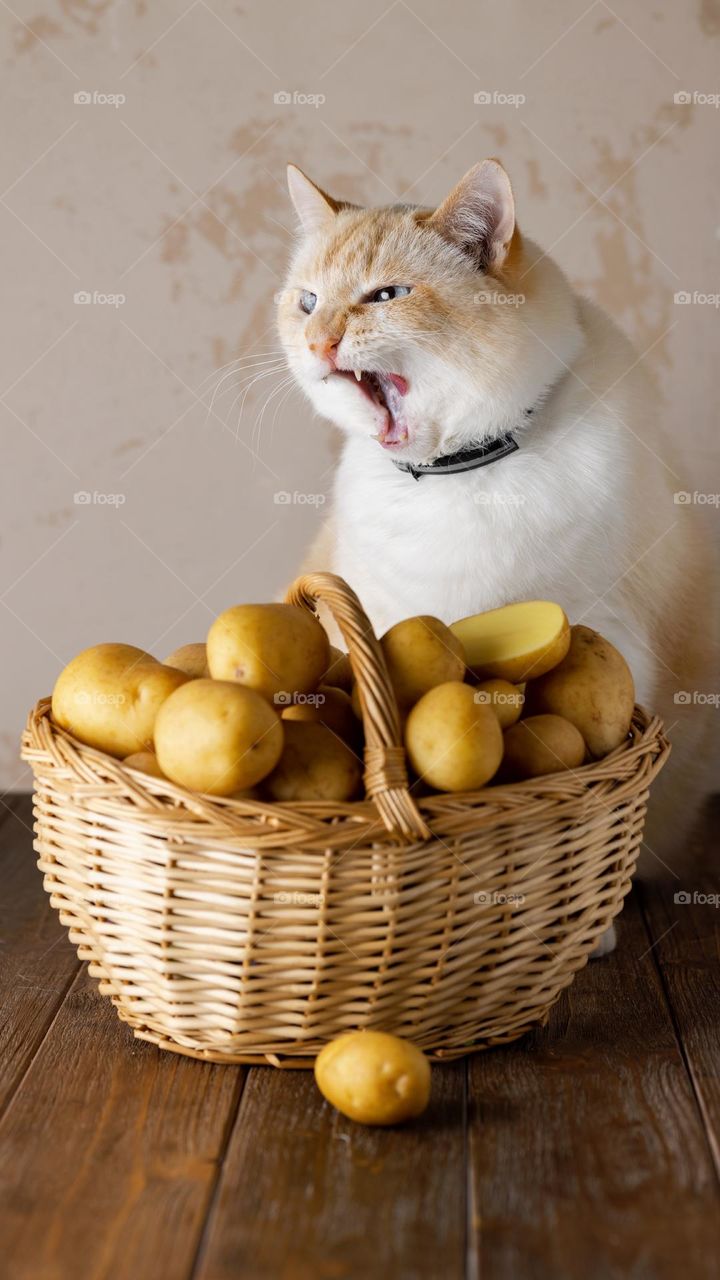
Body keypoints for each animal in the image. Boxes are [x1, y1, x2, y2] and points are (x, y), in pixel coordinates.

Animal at [275, 160, 717, 875]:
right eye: (308, 303)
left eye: (386, 295)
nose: (317, 343)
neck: (461, 474)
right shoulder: (380, 615)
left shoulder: (609, 627)